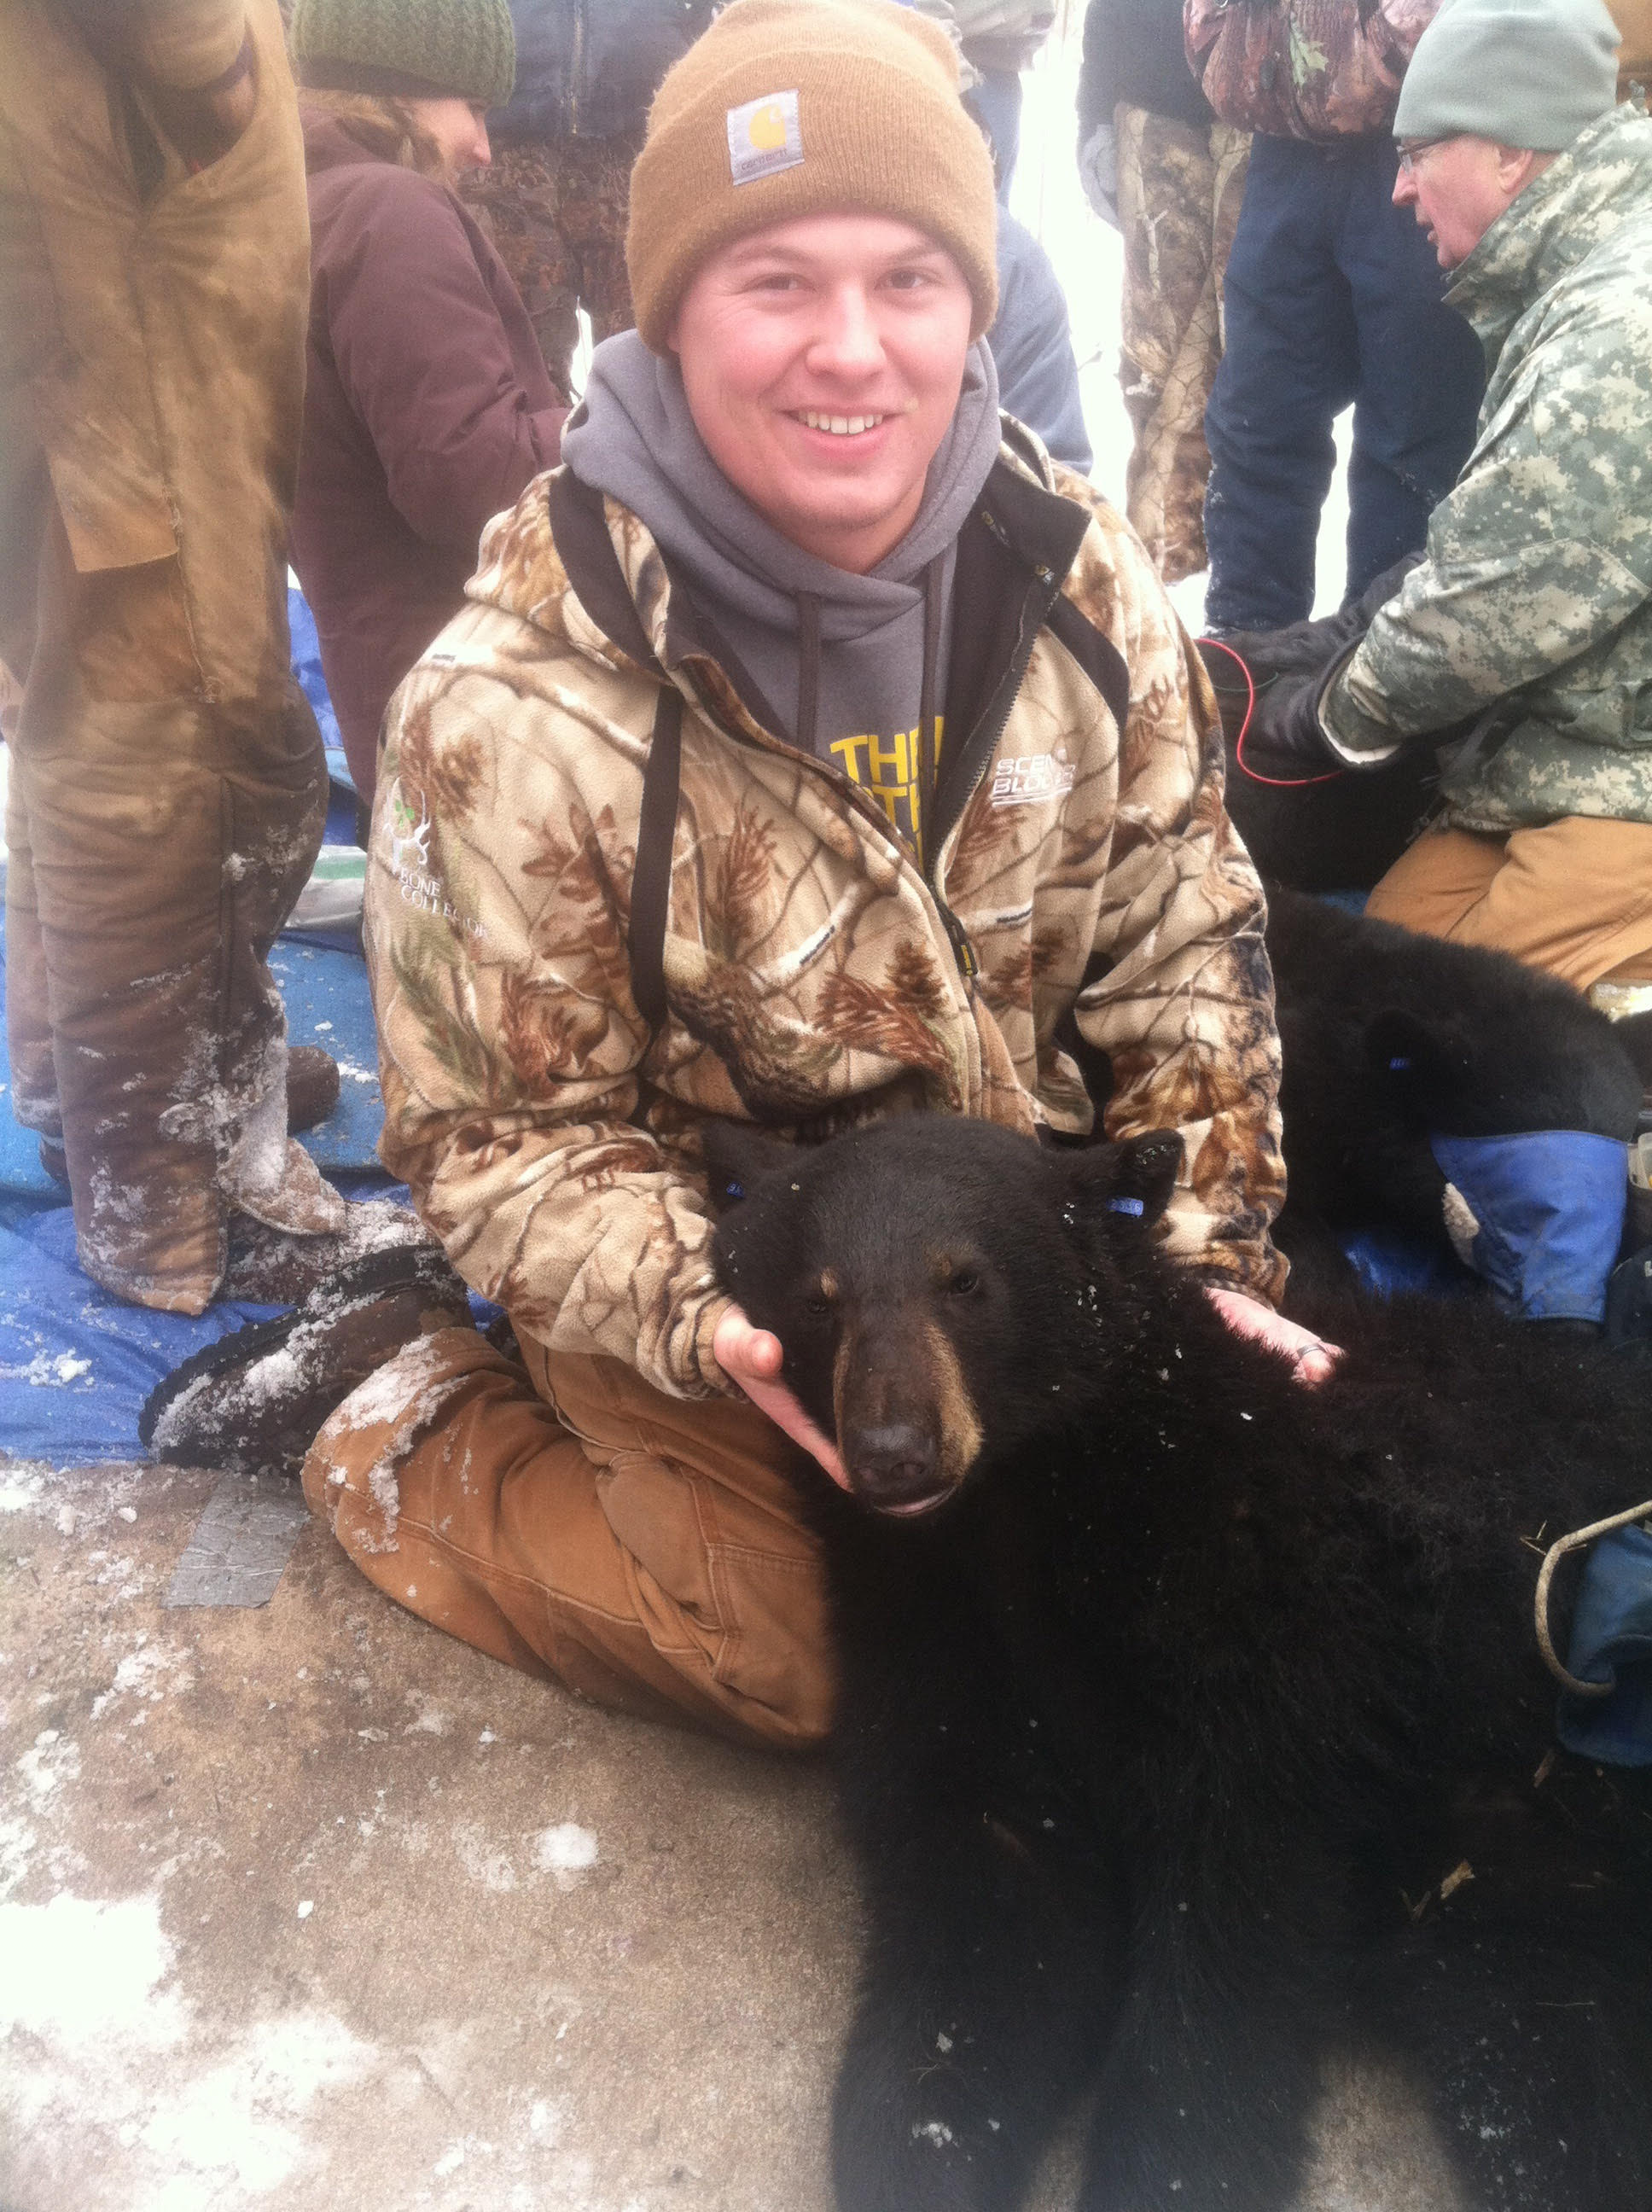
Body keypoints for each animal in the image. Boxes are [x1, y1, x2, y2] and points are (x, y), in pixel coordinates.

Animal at [704, 1110, 1652, 2212]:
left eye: (965, 1281)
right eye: (819, 1299)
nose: (895, 1452)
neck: (1030, 1515)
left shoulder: (1262, 1633)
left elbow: (1226, 1958)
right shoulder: (940, 1636)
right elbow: (987, 1911)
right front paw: (920, 2149)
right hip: (1514, 1873)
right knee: (1543, 2058)